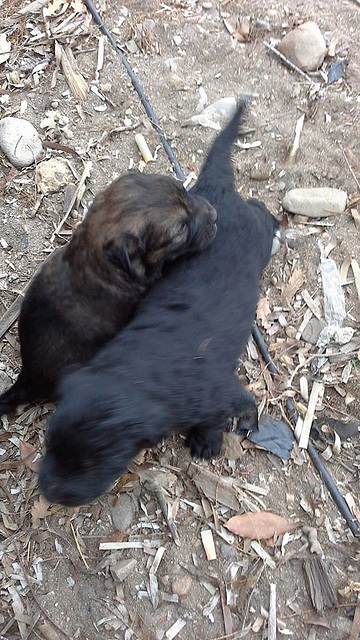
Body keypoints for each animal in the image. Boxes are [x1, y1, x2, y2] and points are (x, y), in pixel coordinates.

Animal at [40, 102, 280, 508]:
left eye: (97, 461)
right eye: (49, 440)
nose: (48, 492)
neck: (136, 370)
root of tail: (214, 190)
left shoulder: (216, 390)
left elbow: (229, 407)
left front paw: (207, 441)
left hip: (257, 236)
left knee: (261, 212)